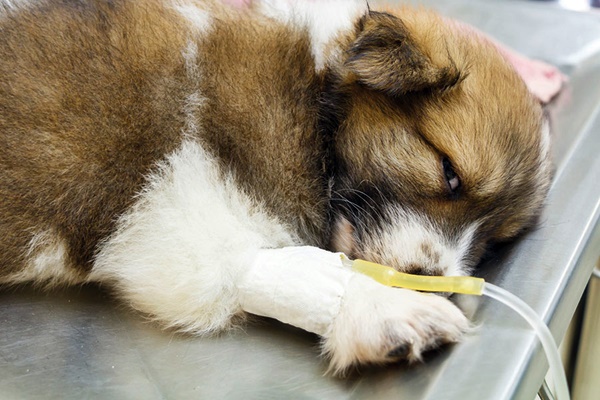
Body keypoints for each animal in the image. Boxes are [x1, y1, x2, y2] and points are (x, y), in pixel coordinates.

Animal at [0, 0, 552, 376]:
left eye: (494, 241)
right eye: (448, 172)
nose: (427, 278)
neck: (313, 105)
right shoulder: (169, 214)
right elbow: (289, 266)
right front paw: (379, 307)